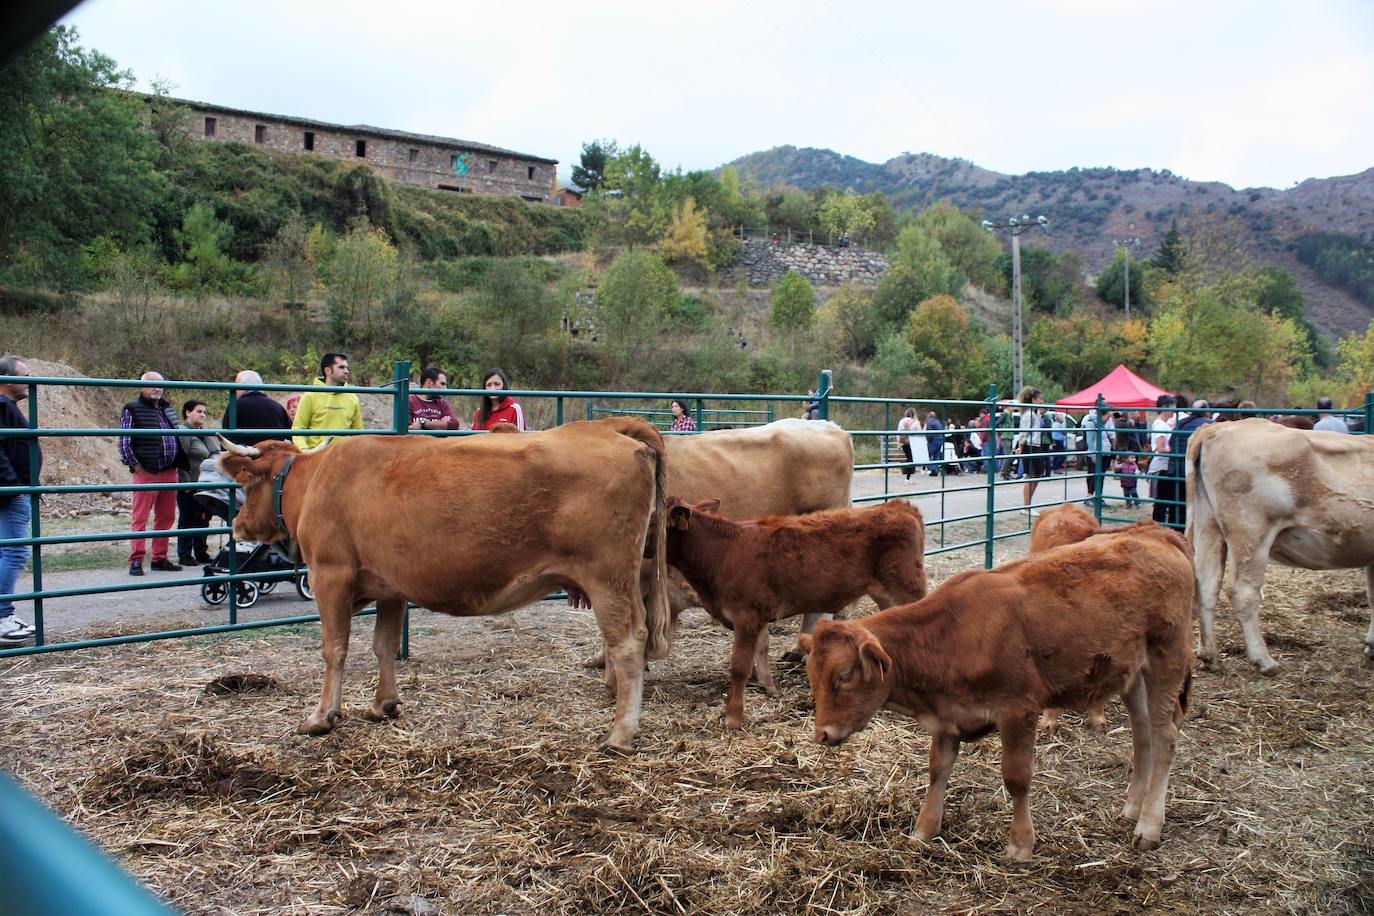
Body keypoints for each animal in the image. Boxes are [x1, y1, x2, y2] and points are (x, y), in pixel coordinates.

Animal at [217, 420, 673, 758]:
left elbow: (335, 649)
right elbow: (384, 645)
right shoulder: (391, 588)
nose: (236, 525)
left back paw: (620, 733)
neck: (317, 479)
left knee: (628, 643)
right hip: (628, 579)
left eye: (246, 482)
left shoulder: (330, 575)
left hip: (606, 578)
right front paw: (383, 704)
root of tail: (608, 428)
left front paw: (321, 716)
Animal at [802, 527, 1198, 862]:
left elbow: (1016, 778)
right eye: (812, 677)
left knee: (1165, 736)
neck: (951, 633)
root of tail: (1155, 533)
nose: (823, 734)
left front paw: (1020, 844)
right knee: (1143, 733)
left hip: (1167, 659)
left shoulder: (1018, 710)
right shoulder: (948, 717)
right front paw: (923, 831)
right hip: (1133, 673)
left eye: (845, 676)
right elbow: (937, 770)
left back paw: (1148, 826)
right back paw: (1133, 807)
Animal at [1187, 417, 1374, 672]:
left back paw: (1209, 657)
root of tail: (1214, 429)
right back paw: (1264, 661)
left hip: (1209, 525)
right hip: (1252, 531)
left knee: (1206, 585)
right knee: (1243, 591)